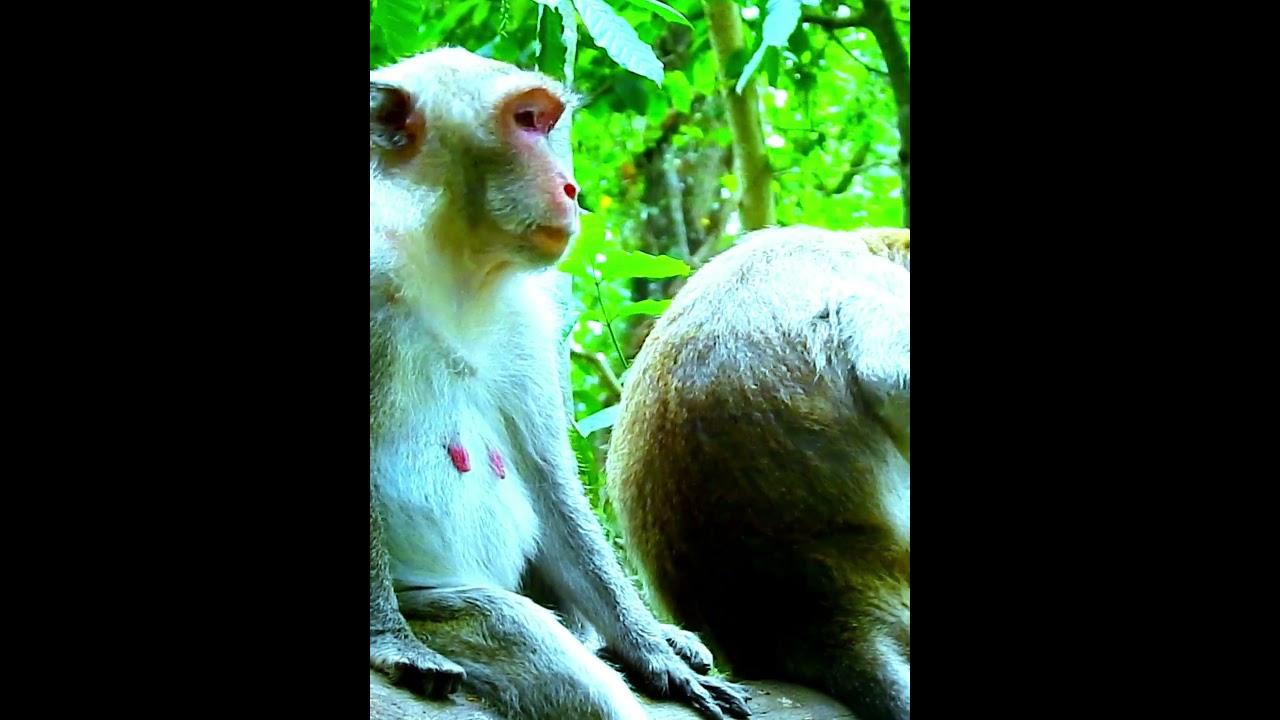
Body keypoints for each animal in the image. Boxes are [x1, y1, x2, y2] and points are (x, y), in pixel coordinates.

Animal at [368, 47, 752, 720]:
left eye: (545, 122)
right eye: (525, 120)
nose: (571, 188)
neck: (452, 263)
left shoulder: (529, 318)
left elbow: (548, 479)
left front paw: (652, 651)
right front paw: (391, 640)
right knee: (523, 636)